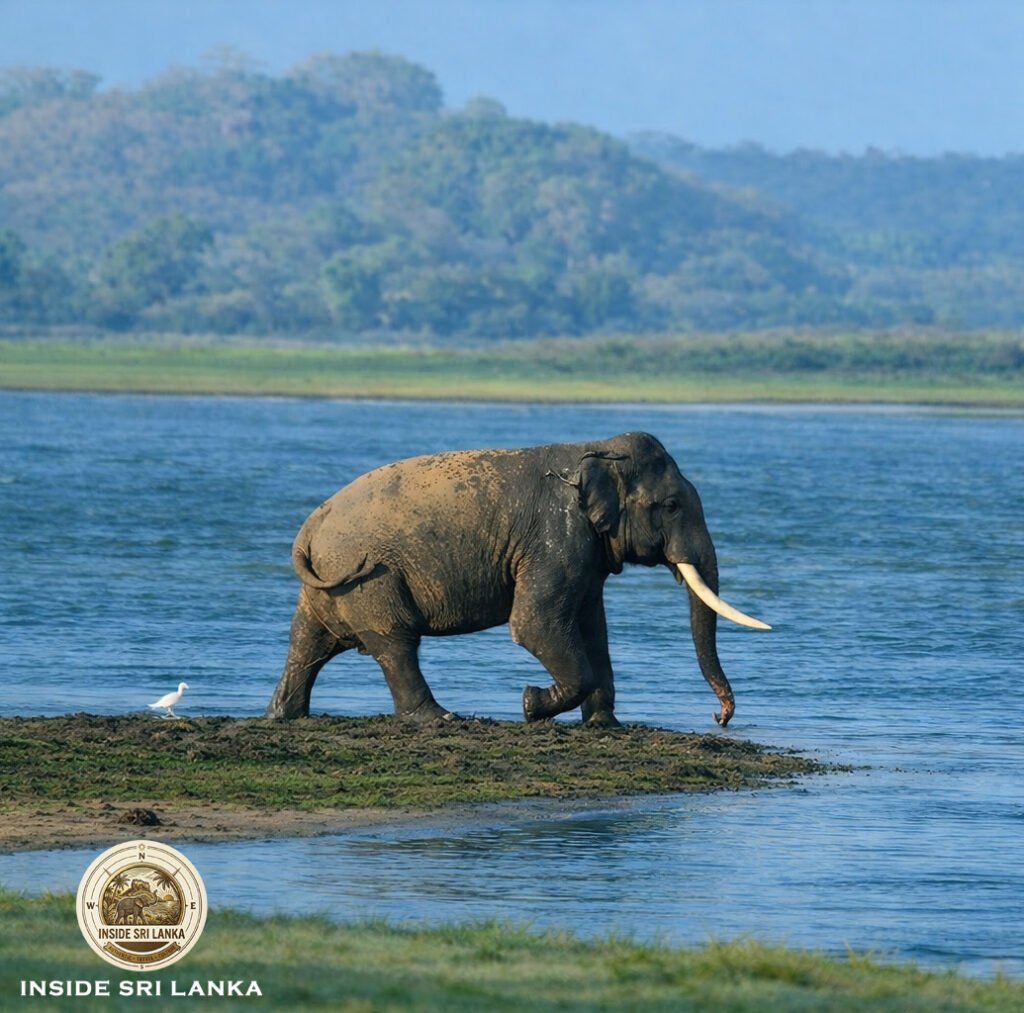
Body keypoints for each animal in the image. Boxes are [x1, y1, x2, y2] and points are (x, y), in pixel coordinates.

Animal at [266, 432, 769, 727]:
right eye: (671, 506)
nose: (719, 717)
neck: (595, 448)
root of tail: (310, 527)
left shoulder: (583, 553)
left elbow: (593, 628)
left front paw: (603, 725)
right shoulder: (555, 537)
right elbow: (534, 624)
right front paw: (530, 705)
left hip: (332, 585)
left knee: (307, 643)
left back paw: (283, 716)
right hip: (370, 578)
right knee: (395, 643)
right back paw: (440, 718)